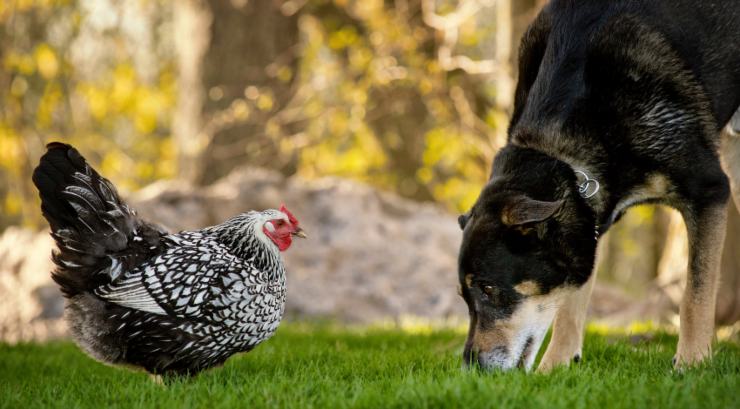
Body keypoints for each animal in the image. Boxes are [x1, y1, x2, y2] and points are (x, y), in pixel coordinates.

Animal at [460, 0, 736, 372]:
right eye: (464, 296)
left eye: (488, 289)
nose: (469, 368)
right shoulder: (587, 221)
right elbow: (570, 304)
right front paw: (557, 365)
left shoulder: (708, 188)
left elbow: (695, 293)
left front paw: (692, 363)